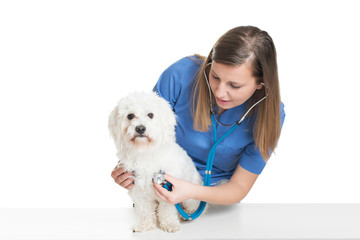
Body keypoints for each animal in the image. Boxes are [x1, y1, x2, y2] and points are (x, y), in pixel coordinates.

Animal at [107, 91, 202, 232]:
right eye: (130, 116)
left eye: (150, 115)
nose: (140, 128)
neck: (144, 151)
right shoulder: (137, 189)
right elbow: (144, 210)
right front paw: (145, 225)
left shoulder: (168, 191)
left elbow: (167, 210)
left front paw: (169, 224)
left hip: (190, 196)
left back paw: (186, 214)